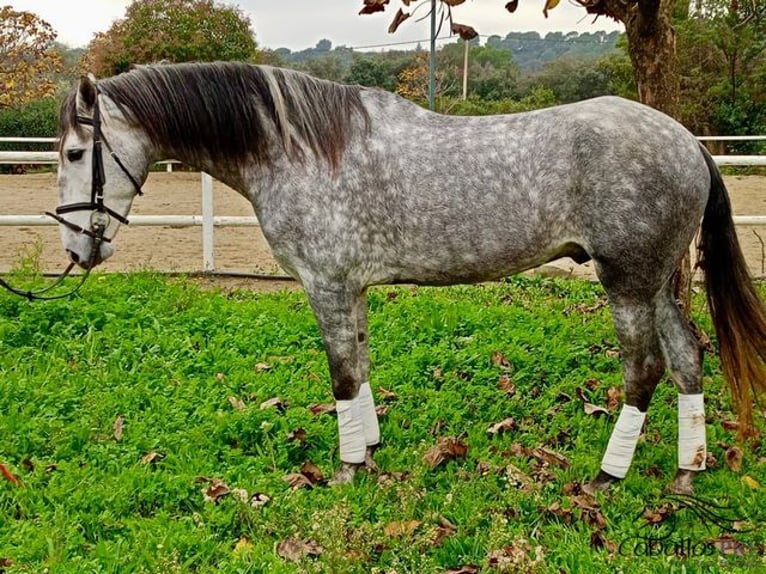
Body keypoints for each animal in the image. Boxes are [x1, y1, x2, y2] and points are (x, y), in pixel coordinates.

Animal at [55, 63, 766, 496]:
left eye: (74, 152)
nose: (75, 247)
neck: (301, 150)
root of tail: (688, 143)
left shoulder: (327, 285)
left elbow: (342, 376)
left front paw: (346, 471)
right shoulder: (352, 289)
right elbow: (363, 368)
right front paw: (368, 451)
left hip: (626, 282)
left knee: (644, 368)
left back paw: (607, 478)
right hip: (658, 282)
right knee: (688, 358)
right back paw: (686, 473)